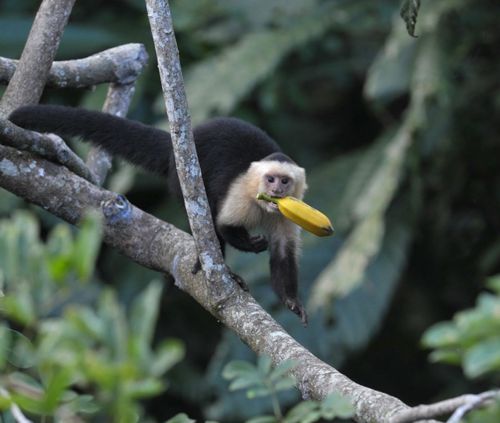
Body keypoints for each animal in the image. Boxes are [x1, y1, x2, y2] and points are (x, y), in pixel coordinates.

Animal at [8, 106, 308, 324]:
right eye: (270, 179)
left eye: (285, 181)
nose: (276, 191)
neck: (264, 207)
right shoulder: (241, 195)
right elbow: (222, 225)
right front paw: (250, 245)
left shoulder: (290, 212)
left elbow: (283, 252)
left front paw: (291, 301)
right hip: (181, 177)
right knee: (204, 214)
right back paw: (216, 266)